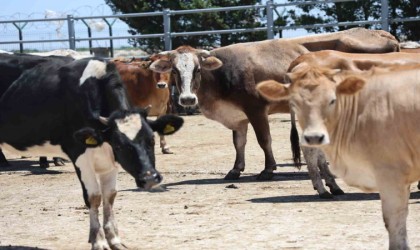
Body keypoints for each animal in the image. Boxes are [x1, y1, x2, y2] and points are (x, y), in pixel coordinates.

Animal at [0, 57, 184, 250]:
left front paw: (114, 240)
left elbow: (110, 196)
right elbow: (94, 197)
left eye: (151, 140)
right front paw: (98, 241)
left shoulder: (109, 161)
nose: (149, 178)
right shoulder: (80, 154)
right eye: (119, 145)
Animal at [149, 27, 398, 199]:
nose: (187, 99)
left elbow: (264, 140)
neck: (221, 74)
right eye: (174, 70)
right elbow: (239, 142)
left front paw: (268, 169)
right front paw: (236, 169)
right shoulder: (238, 117)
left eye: (198, 69)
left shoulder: (256, 108)